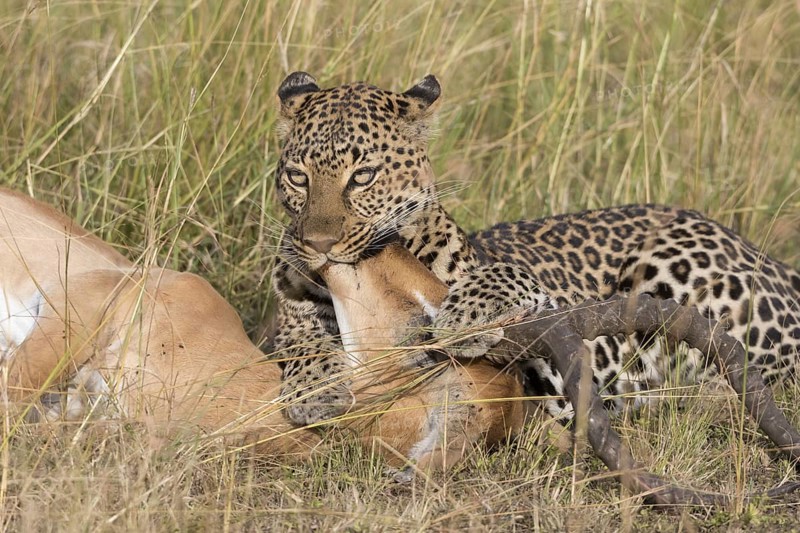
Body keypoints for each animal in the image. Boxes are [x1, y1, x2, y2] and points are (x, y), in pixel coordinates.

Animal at [270, 71, 800, 426]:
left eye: (362, 176)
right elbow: (300, 343)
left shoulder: (561, 362)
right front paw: (316, 389)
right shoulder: (291, 315)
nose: (318, 244)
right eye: (298, 176)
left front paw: (464, 315)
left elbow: (510, 277)